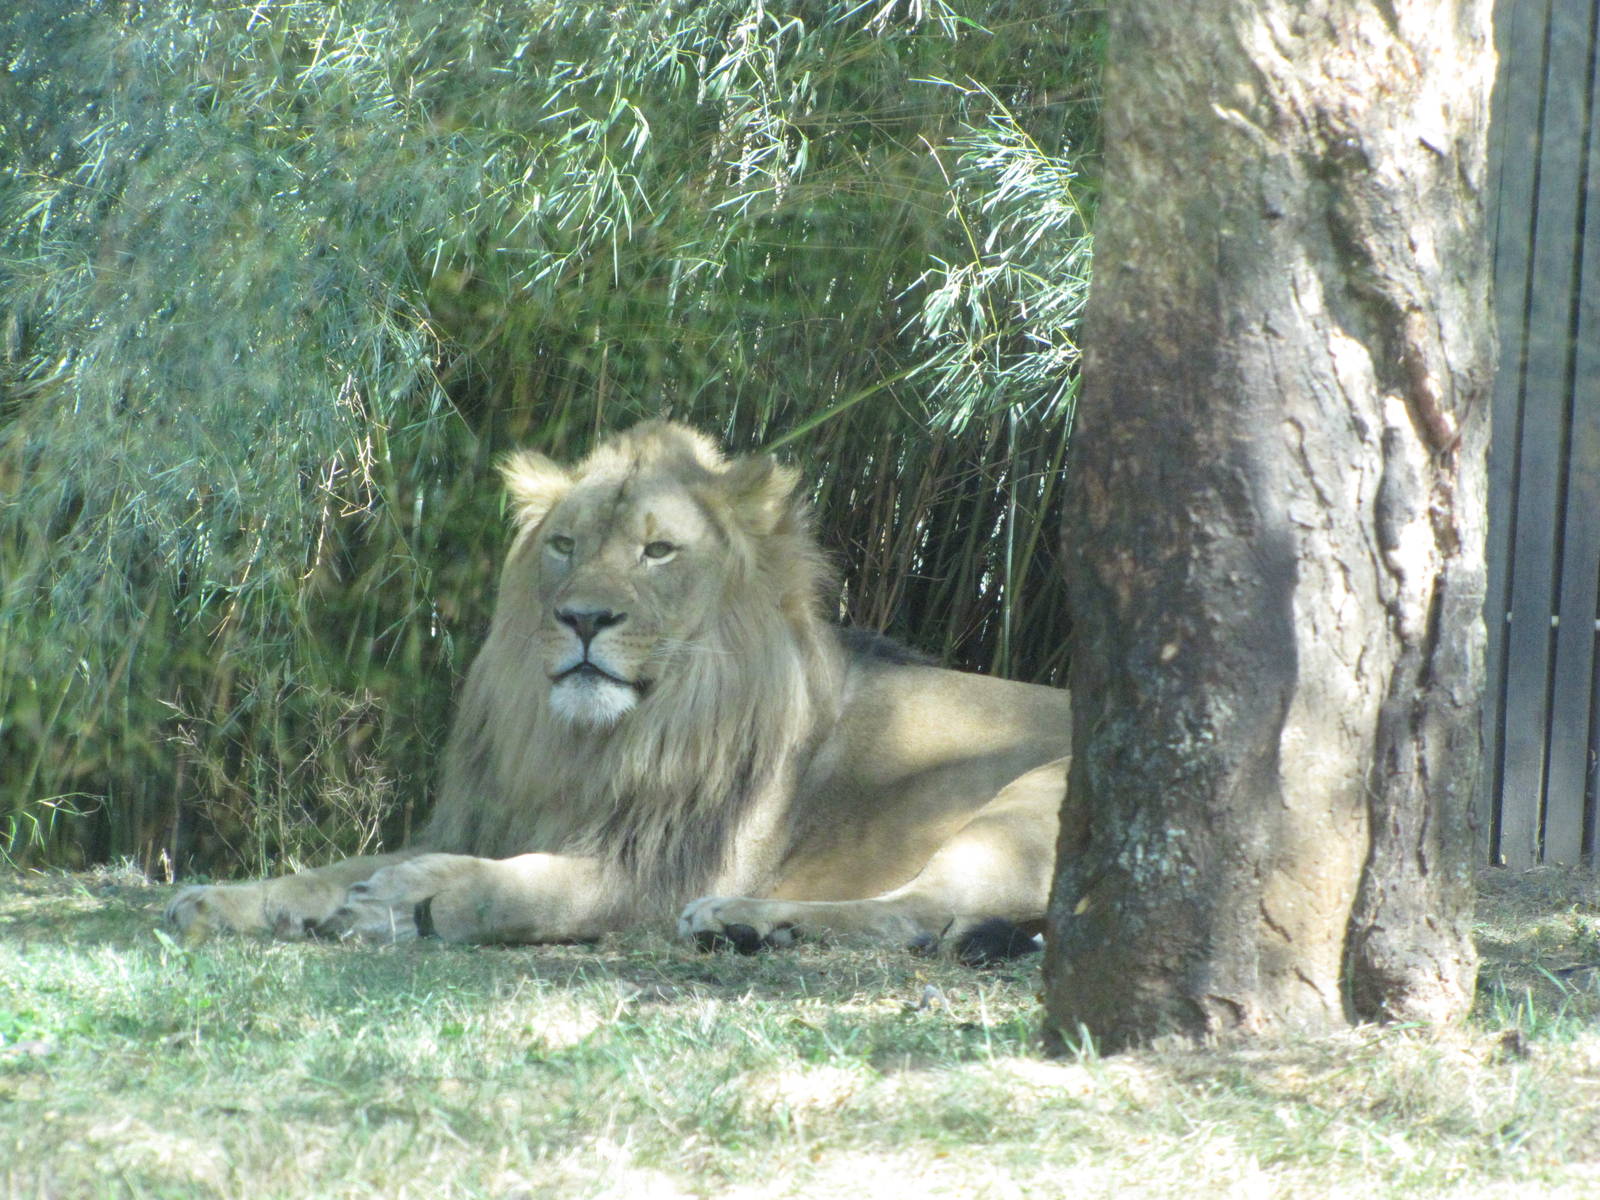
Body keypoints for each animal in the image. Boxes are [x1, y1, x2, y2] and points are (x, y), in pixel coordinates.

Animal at [165, 421, 1073, 958]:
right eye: (564, 544)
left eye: (658, 551)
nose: (583, 618)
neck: (598, 741)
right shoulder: (492, 818)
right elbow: (328, 869)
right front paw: (226, 900)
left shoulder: (658, 869)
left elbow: (525, 886)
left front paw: (415, 899)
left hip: (1031, 804)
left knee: (919, 913)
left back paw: (746, 920)